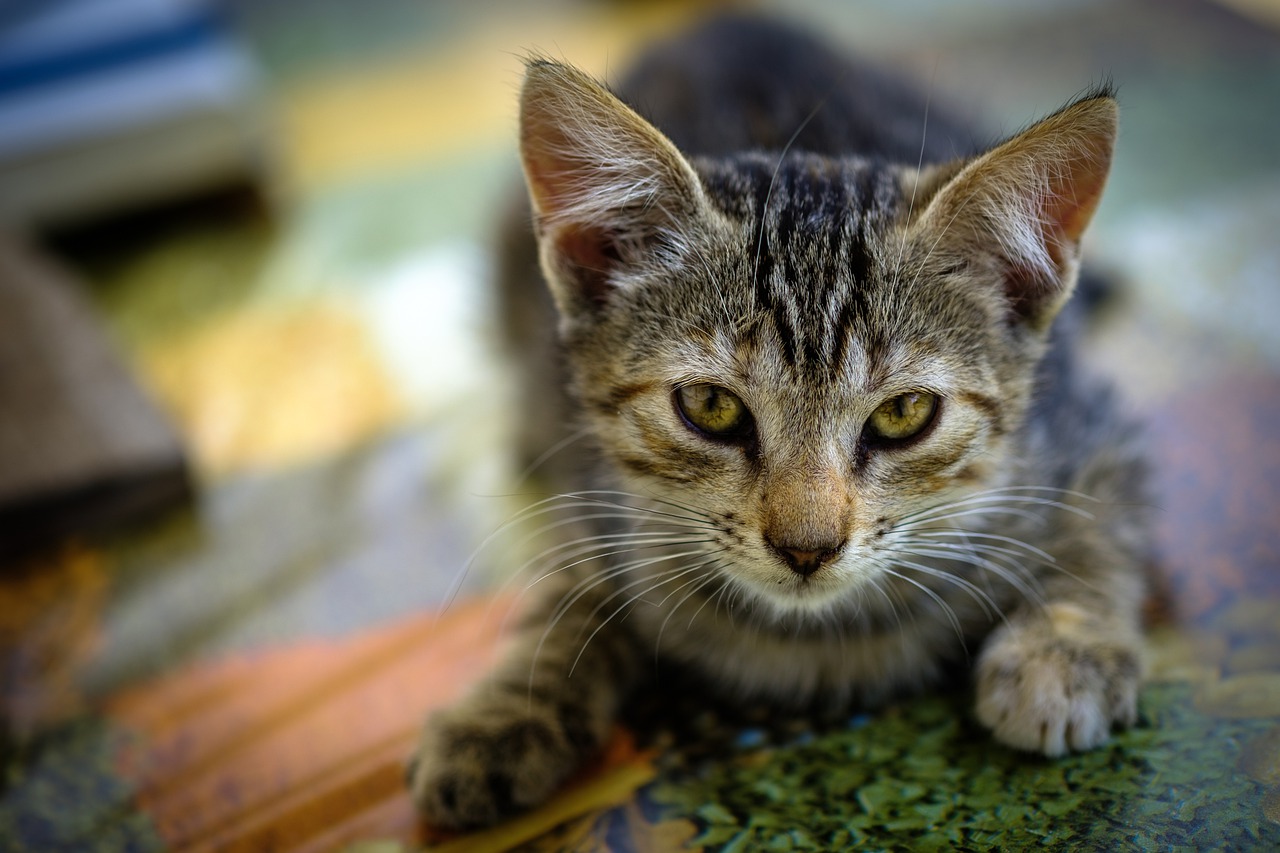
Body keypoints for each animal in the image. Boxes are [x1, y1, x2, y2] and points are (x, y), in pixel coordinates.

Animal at [407, 16, 1152, 824]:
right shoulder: (585, 479)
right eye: (711, 407)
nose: (807, 548)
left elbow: (1099, 531)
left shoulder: (1094, 426)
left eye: (904, 413)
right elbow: (564, 589)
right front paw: (503, 711)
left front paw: (1063, 652)